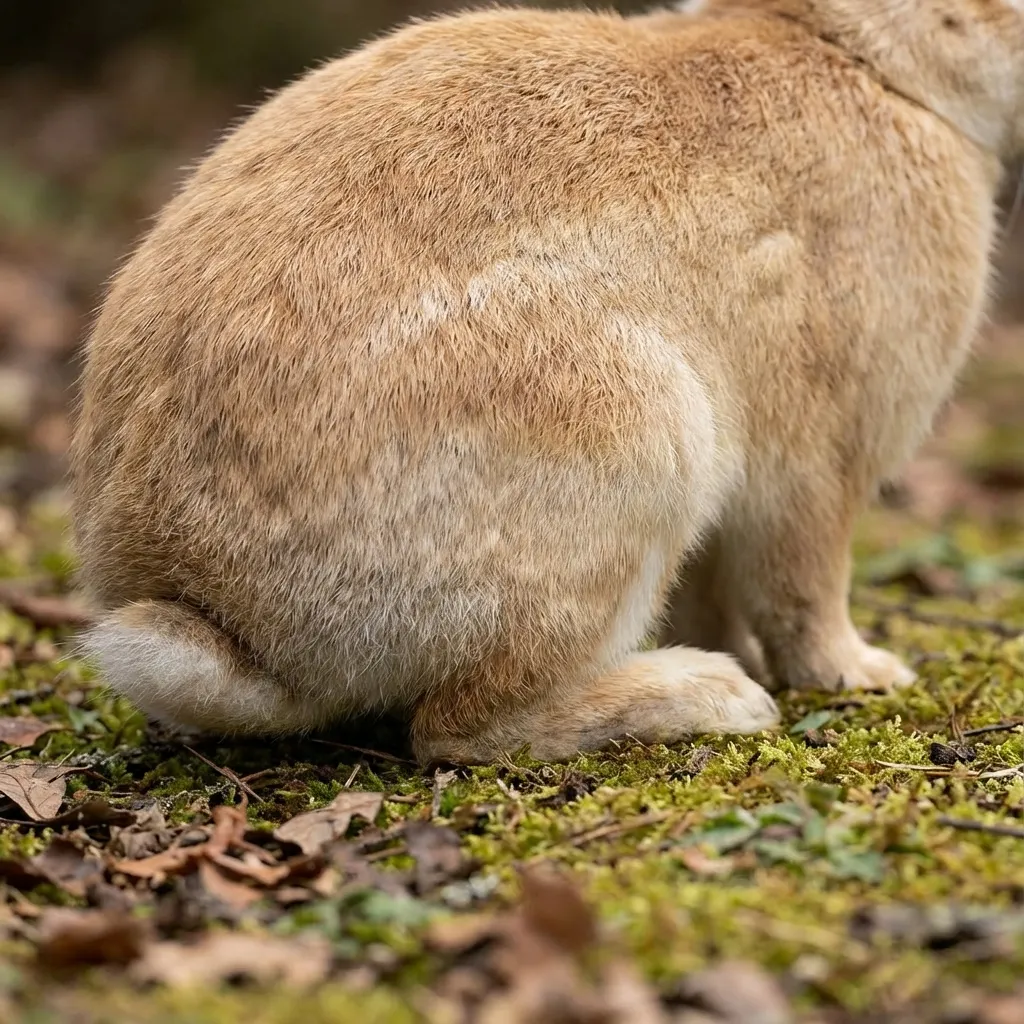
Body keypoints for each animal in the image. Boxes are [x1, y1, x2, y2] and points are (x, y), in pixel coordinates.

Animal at [71, 0, 1023, 765]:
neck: (868, 55)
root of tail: (214, 615)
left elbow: (720, 591)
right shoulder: (822, 459)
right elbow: (806, 583)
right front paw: (863, 675)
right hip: (633, 442)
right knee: (460, 730)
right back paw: (711, 697)